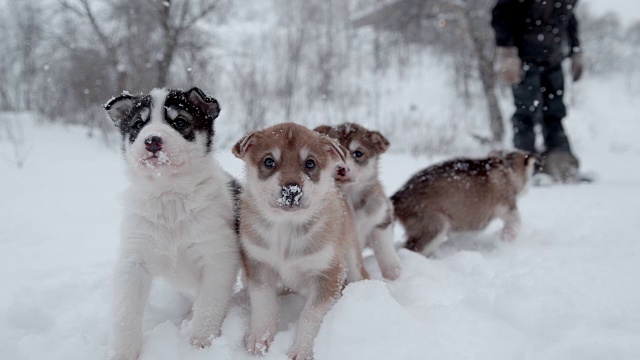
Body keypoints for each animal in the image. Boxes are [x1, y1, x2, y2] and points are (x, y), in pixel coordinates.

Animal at [105, 87, 240, 360]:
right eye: (138, 125)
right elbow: (125, 311)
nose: (152, 140)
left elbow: (208, 308)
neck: (169, 197)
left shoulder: (219, 257)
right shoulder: (133, 259)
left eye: (179, 122)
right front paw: (122, 352)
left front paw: (201, 345)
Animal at [232, 121, 368, 360]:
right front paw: (259, 338)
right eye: (269, 161)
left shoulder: (328, 272)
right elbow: (263, 301)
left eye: (310, 163)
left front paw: (302, 350)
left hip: (351, 260)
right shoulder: (257, 263)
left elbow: (311, 314)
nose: (291, 190)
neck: (287, 227)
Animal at [314, 124, 400, 282]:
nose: (341, 168)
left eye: (358, 153)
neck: (348, 196)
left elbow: (384, 247)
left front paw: (393, 272)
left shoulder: (380, 219)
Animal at [390, 150, 536, 255]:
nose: (529, 189)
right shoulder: (506, 206)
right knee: (410, 249)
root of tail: (398, 195)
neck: (507, 168)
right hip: (435, 226)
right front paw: (507, 235)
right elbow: (516, 221)